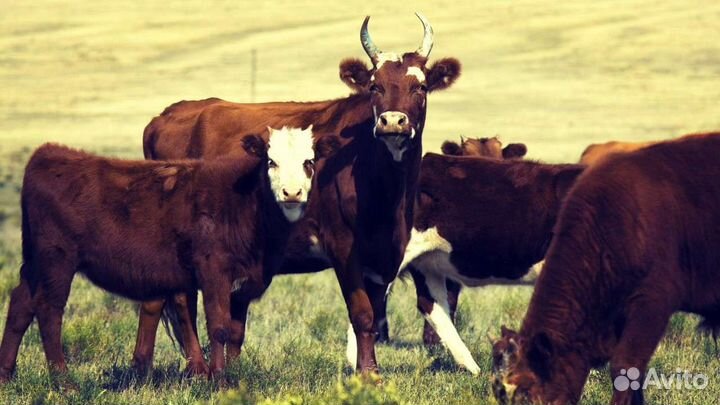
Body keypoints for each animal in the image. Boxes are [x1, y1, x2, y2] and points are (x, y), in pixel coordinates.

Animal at [0, 127, 326, 381]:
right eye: (271, 161)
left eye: (308, 161)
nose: (292, 193)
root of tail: (50, 153)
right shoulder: (213, 271)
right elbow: (219, 327)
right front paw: (219, 381)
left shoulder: (244, 280)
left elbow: (235, 332)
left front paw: (233, 378)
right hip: (57, 260)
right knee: (48, 309)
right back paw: (63, 382)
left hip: (35, 262)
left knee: (21, 304)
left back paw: (6, 374)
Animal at [133, 13, 462, 375]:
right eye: (375, 86)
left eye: (420, 87)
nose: (392, 122)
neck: (383, 188)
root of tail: (167, 115)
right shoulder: (341, 245)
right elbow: (362, 314)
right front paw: (368, 374)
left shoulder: (387, 251)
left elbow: (375, 316)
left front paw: (372, 370)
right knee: (175, 299)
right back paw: (190, 366)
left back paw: (145, 365)